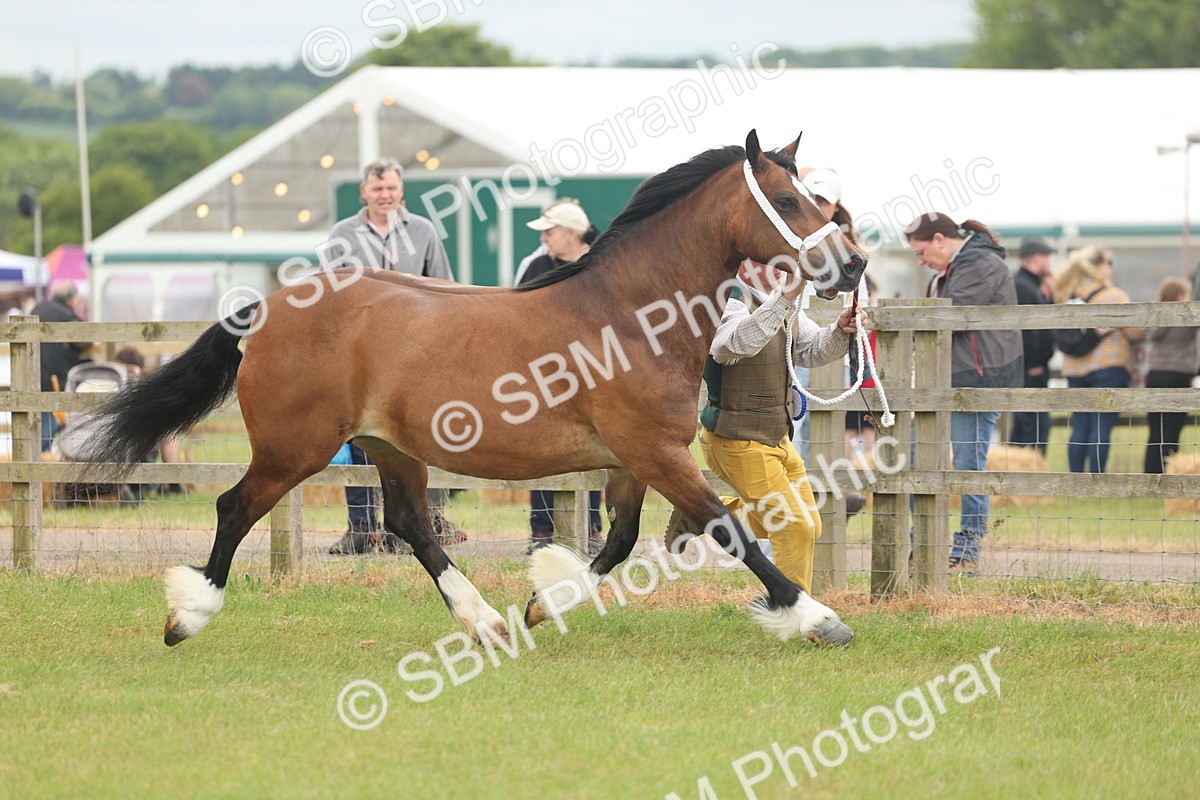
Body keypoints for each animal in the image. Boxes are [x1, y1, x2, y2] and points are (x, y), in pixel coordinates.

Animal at [82, 130, 867, 648]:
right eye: (787, 199)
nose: (854, 264)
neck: (629, 313)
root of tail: (266, 309)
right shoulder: (655, 453)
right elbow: (729, 530)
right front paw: (817, 617)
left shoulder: (633, 460)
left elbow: (617, 541)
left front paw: (544, 604)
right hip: (294, 449)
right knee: (234, 508)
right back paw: (187, 616)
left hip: (389, 447)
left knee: (410, 525)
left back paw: (485, 618)